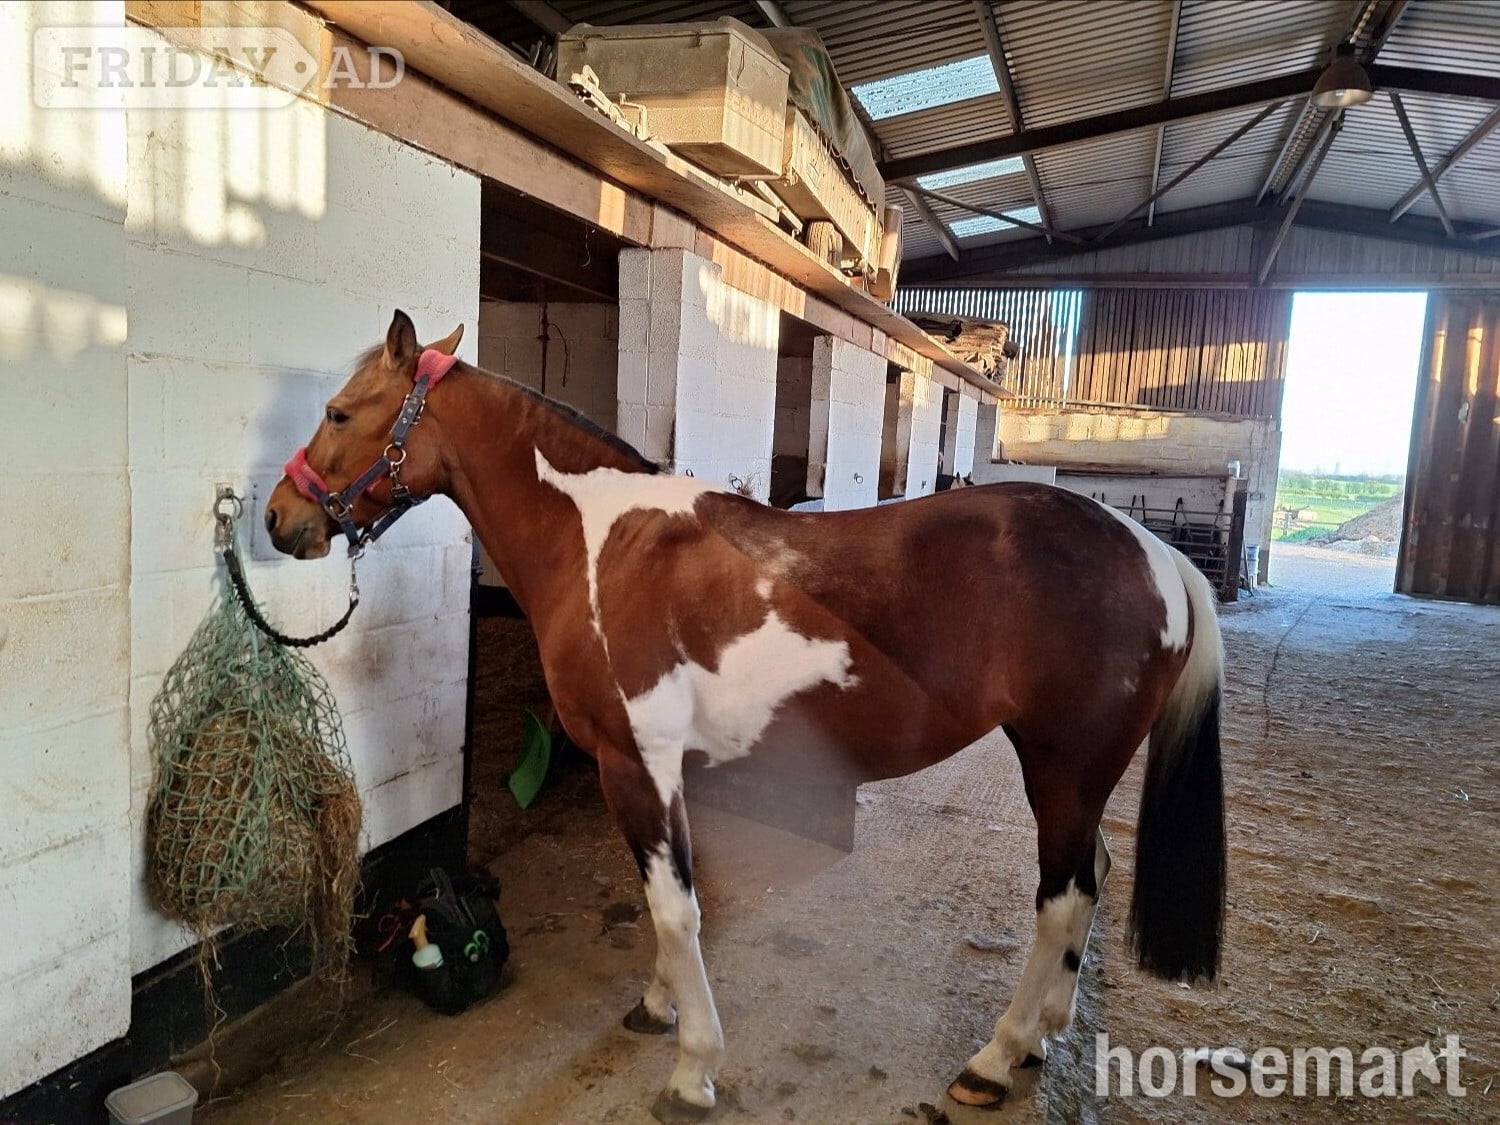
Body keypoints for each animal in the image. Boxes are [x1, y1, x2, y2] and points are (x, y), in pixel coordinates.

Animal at [264, 311, 1227, 1120]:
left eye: (340, 413)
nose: (280, 518)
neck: (601, 544)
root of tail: (1157, 554)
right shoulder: (664, 771)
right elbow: (671, 902)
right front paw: (659, 1005)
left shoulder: (634, 763)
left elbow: (674, 908)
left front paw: (693, 1067)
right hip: (1075, 778)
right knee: (1092, 878)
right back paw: (1041, 1038)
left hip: (1061, 769)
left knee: (1064, 899)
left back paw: (994, 1058)